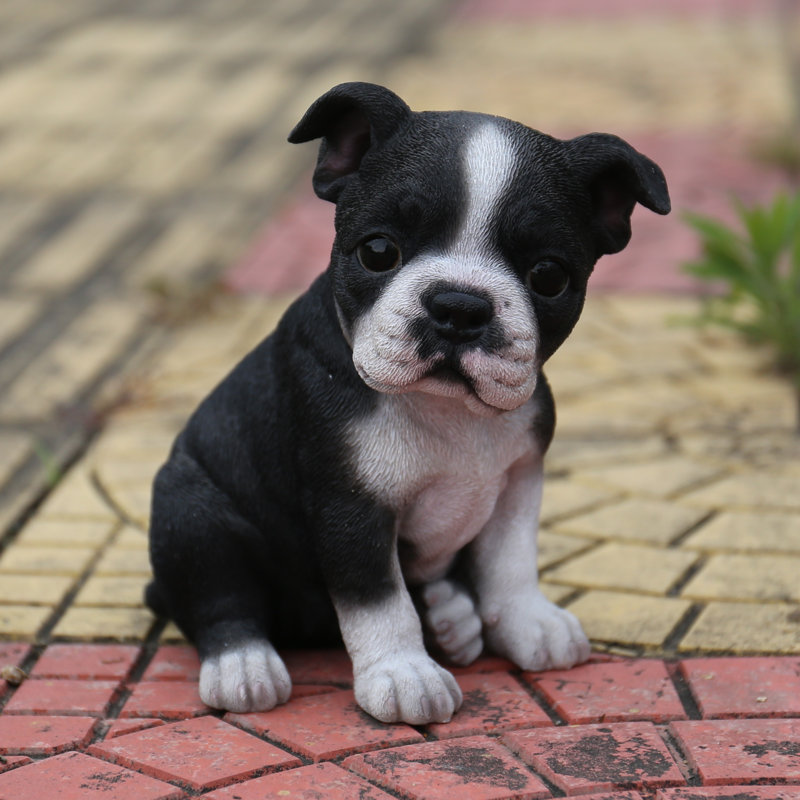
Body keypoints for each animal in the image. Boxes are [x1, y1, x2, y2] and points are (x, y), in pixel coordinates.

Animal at [145, 81, 668, 724]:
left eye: (548, 276)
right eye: (377, 252)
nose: (460, 306)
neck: (447, 409)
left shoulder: (518, 481)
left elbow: (511, 560)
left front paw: (529, 622)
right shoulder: (353, 508)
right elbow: (379, 601)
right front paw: (402, 674)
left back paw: (451, 619)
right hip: (189, 507)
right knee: (219, 595)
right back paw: (244, 666)